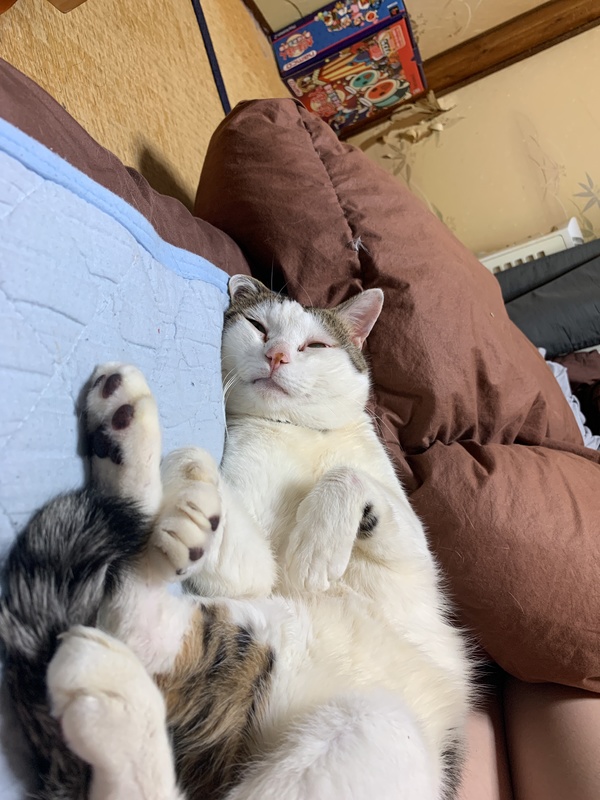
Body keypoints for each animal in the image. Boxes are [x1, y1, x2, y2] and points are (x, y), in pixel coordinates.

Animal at [0, 276, 472, 800]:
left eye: (315, 345)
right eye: (258, 325)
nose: (277, 355)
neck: (297, 436)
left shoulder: (412, 563)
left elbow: (350, 479)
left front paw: (314, 548)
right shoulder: (251, 576)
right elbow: (195, 459)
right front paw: (193, 507)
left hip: (358, 711)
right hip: (298, 655)